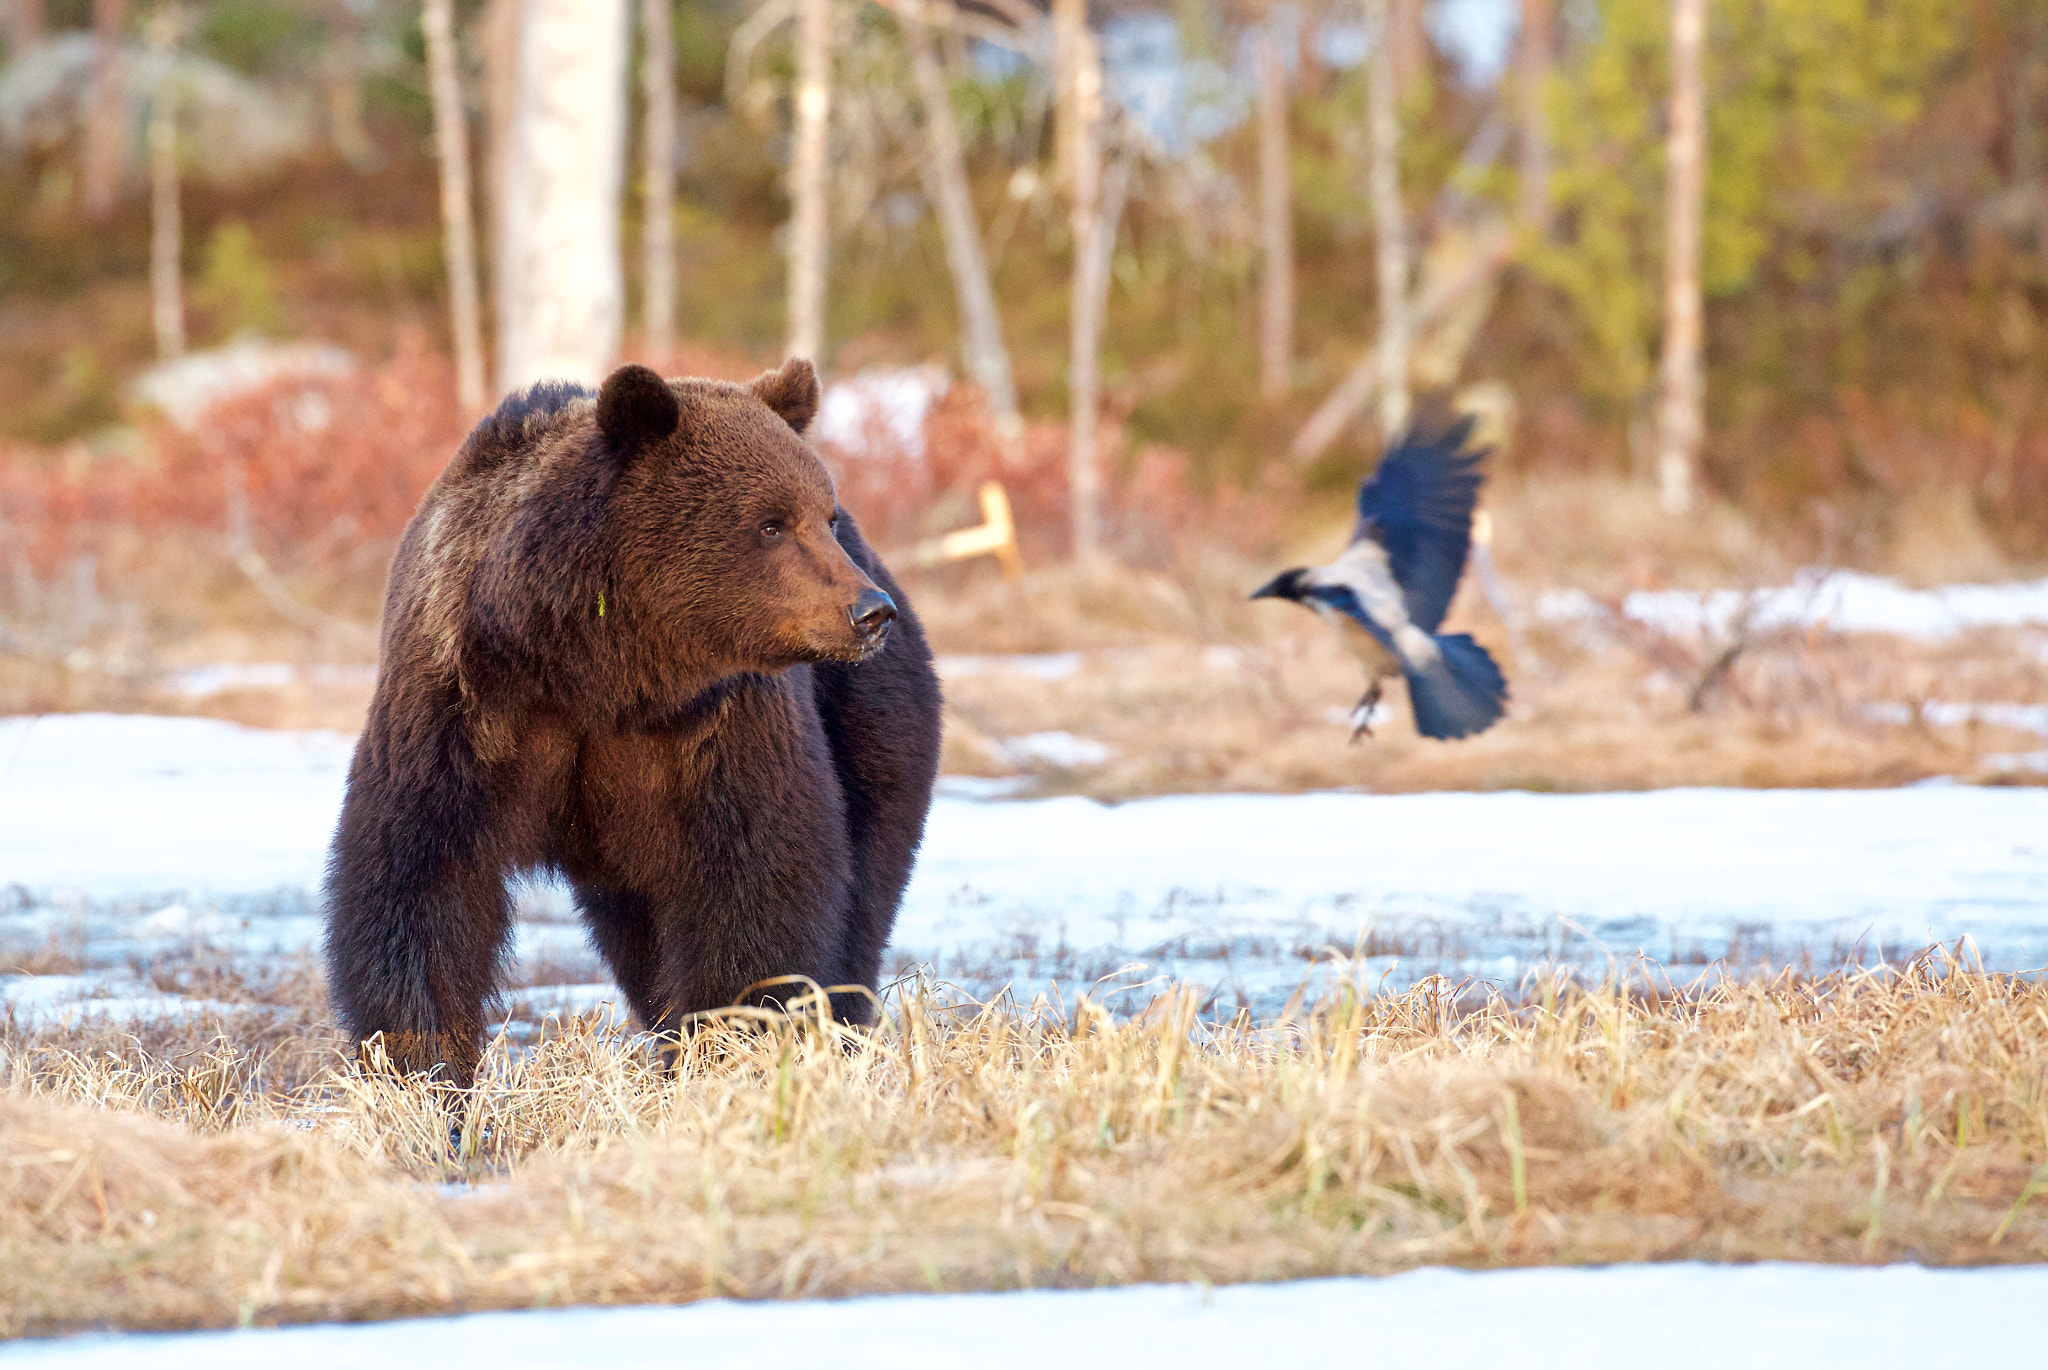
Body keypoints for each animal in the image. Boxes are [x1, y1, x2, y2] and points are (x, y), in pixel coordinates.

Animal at [321, 358, 942, 1081]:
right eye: (770, 522)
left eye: (827, 515)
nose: (869, 611)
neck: (601, 671)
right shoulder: (466, 706)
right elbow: (421, 877)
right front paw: (426, 1062)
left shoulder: (716, 727)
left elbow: (755, 881)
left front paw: (734, 1046)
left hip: (869, 723)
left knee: (863, 888)